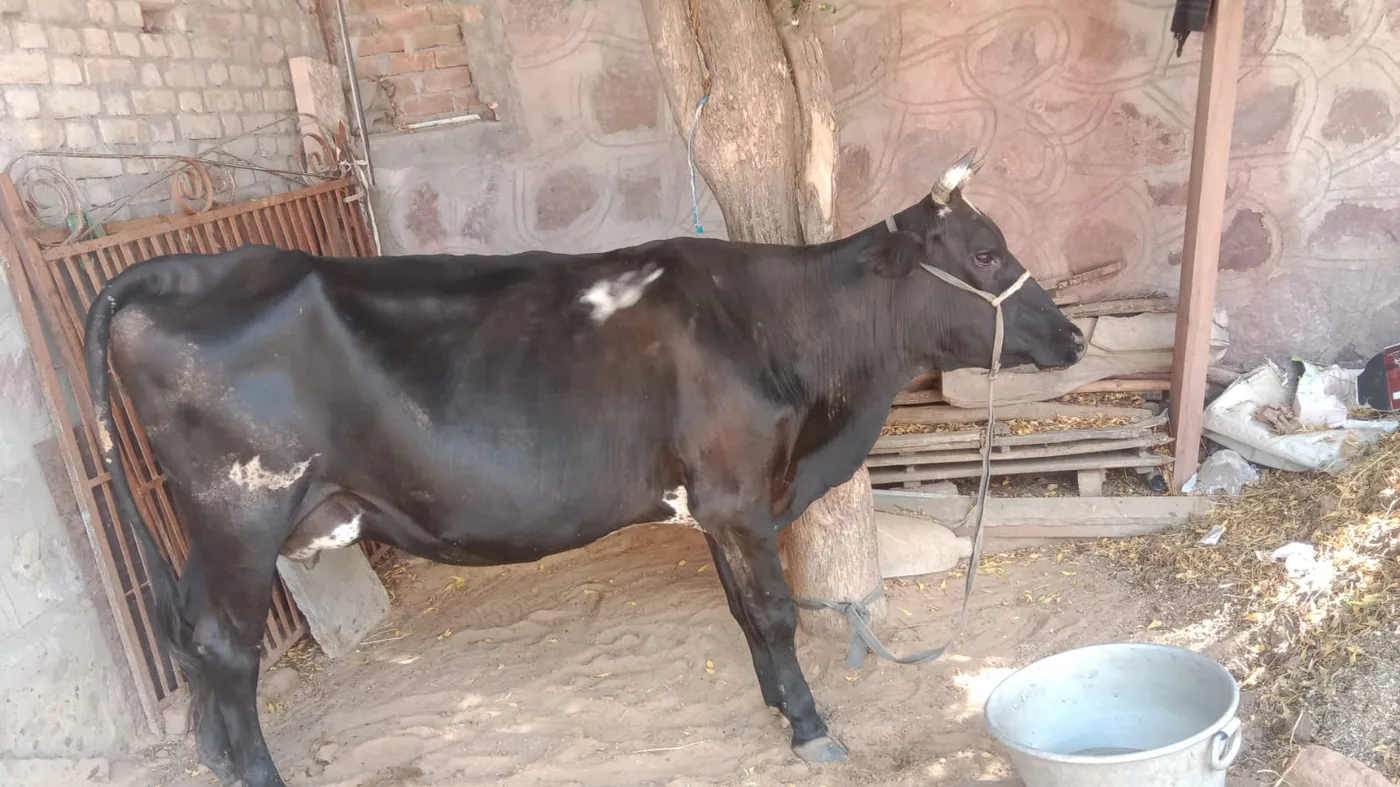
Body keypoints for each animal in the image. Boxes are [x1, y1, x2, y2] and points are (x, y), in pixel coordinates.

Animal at [83, 151, 1085, 786]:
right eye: (985, 251)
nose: (1074, 335)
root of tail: (176, 270)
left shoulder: (714, 503)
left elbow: (744, 613)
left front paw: (775, 706)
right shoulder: (738, 491)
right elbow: (772, 612)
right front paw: (810, 726)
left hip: (210, 529)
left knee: (199, 646)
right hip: (241, 512)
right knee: (225, 648)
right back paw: (256, 772)